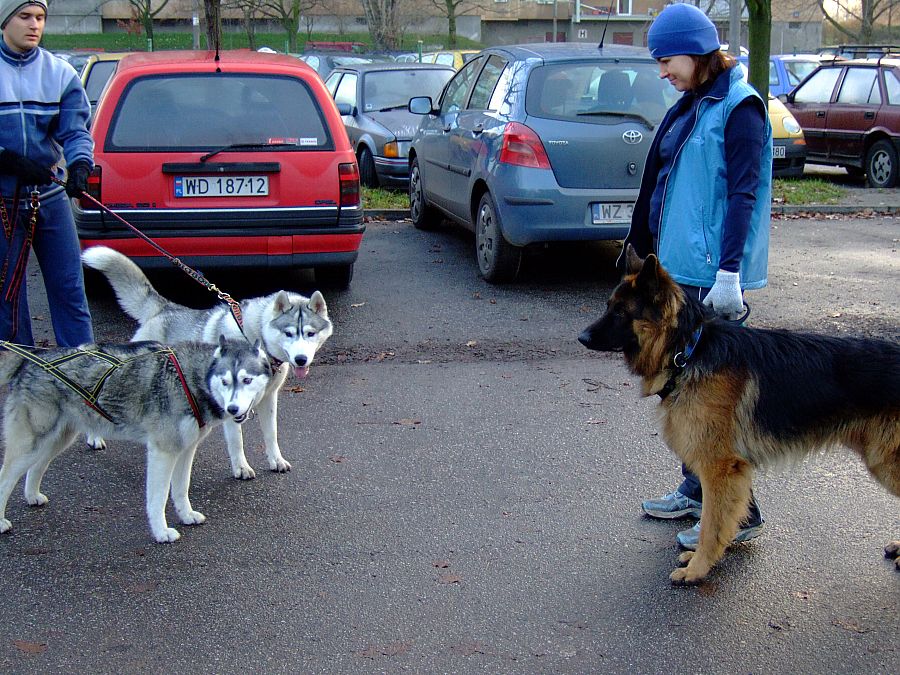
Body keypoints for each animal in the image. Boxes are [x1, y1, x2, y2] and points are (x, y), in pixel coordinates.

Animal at [0, 337, 271, 543]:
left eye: (247, 380)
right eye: (225, 381)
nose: (233, 409)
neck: (191, 379)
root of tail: (31, 358)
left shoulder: (185, 450)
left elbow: (181, 489)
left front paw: (186, 516)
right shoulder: (163, 452)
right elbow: (158, 497)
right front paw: (161, 532)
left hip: (55, 440)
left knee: (36, 467)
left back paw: (32, 495)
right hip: (32, 443)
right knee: (5, 478)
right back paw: (2, 521)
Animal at [82, 246, 333, 479]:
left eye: (310, 333)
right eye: (289, 333)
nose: (301, 359)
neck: (252, 336)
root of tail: (164, 308)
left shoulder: (268, 398)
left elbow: (271, 433)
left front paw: (276, 460)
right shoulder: (231, 403)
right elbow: (237, 440)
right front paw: (241, 468)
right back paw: (95, 436)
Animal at [578, 245, 900, 584]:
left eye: (619, 313)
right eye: (608, 307)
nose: (581, 337)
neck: (688, 351)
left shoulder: (720, 468)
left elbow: (710, 525)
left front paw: (696, 569)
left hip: (885, 461)